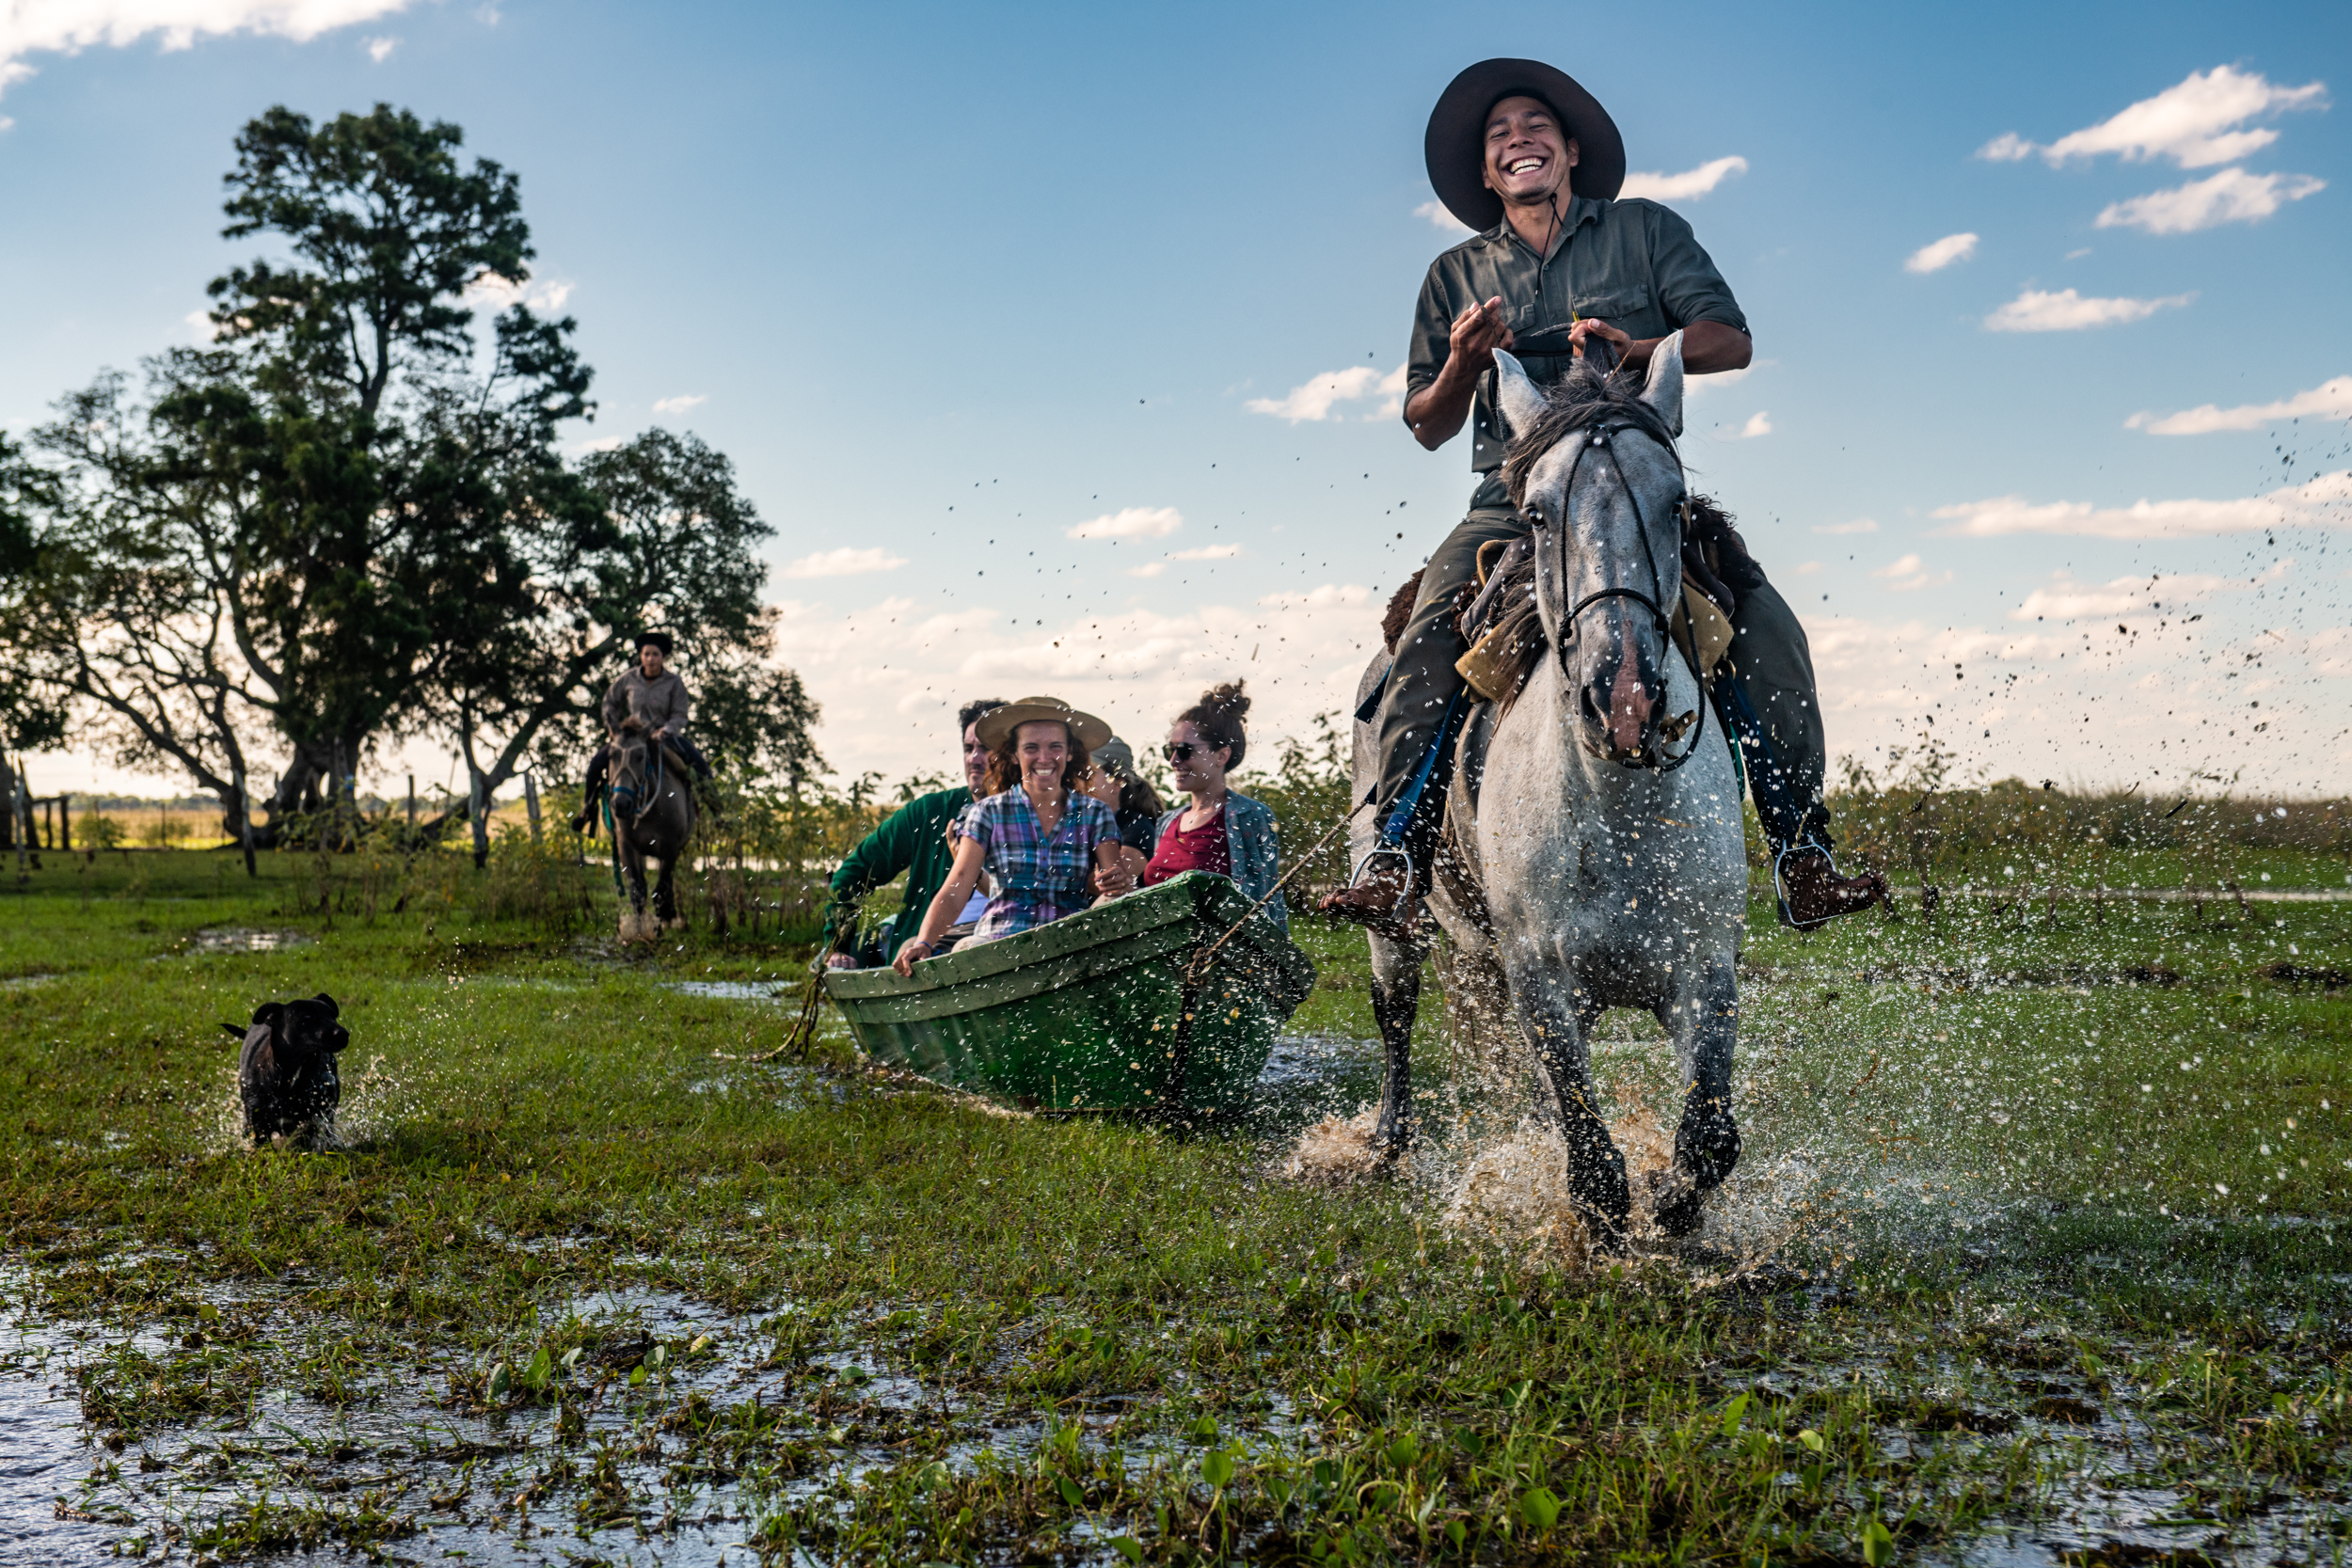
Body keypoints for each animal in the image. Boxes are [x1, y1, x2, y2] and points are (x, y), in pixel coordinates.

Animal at [607, 723, 696, 944]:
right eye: (612, 755)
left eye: (640, 756)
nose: (621, 804)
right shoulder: (627, 847)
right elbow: (638, 891)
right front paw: (639, 934)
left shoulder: (670, 849)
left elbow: (659, 892)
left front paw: (657, 932)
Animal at [1364, 333, 1750, 1250]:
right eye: (1537, 513)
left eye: (1676, 505)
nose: (1626, 698)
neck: (1617, 814)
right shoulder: (1539, 977)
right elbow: (1594, 1167)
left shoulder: (1705, 970)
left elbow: (1709, 1135)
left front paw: (1674, 1203)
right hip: (1398, 924)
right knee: (1397, 1012)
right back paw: (1387, 1144)